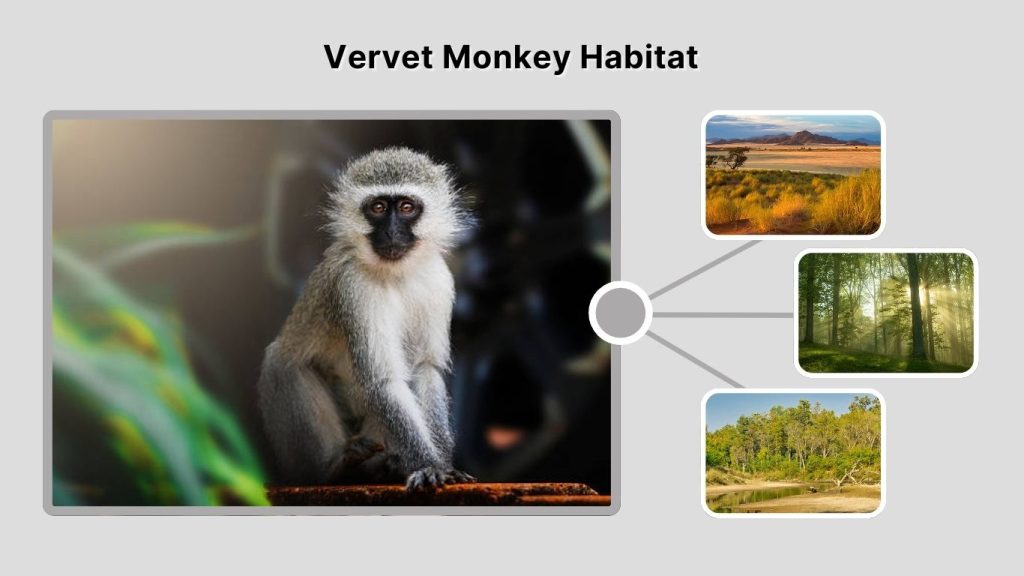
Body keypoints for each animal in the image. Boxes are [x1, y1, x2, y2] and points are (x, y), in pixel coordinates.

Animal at [257, 147, 476, 491]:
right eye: (377, 207)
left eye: (407, 207)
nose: (391, 232)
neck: (397, 273)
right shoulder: (353, 286)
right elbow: (383, 381)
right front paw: (428, 465)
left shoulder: (439, 279)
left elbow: (425, 369)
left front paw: (443, 464)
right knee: (281, 365)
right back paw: (335, 470)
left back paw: (383, 468)